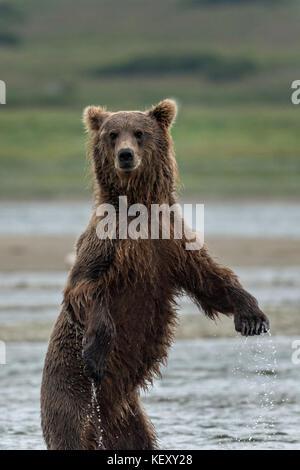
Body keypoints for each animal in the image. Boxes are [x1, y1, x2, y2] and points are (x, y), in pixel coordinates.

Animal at [40, 98, 270, 448]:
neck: (139, 208)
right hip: (71, 397)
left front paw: (252, 316)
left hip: (127, 417)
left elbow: (209, 278)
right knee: (72, 435)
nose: (125, 155)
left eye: (139, 132)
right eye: (112, 134)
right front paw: (95, 354)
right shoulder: (105, 242)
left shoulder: (172, 243)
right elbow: (83, 287)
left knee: (138, 439)